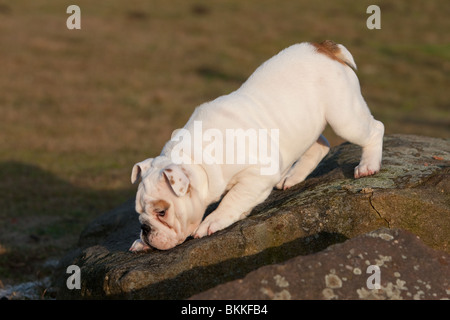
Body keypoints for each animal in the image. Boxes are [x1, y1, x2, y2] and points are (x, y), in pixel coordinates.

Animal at [129, 40, 384, 251]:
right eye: (139, 214)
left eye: (162, 212)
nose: (145, 230)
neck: (196, 158)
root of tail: (323, 46)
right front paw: (139, 243)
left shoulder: (257, 175)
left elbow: (232, 199)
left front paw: (211, 221)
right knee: (320, 144)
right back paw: (292, 177)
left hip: (344, 117)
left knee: (375, 129)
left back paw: (367, 166)